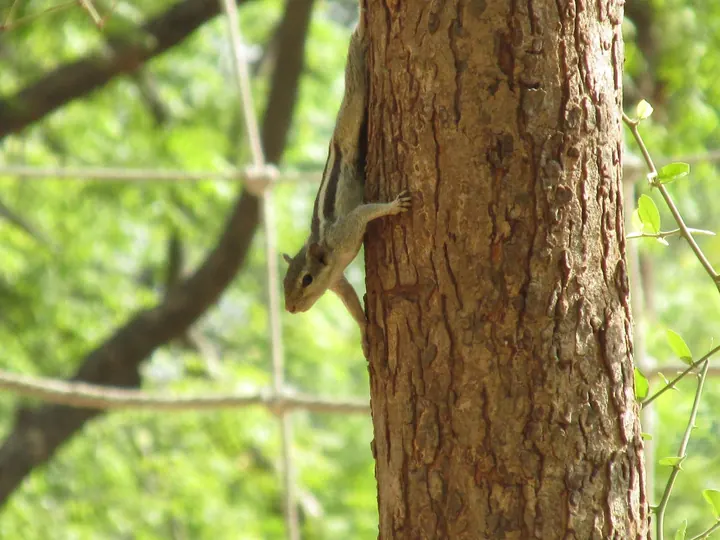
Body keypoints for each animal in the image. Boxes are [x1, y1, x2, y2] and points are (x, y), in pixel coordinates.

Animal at [281, 11, 412, 357]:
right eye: (284, 282)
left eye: (307, 280)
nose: (290, 309)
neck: (326, 252)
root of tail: (333, 143)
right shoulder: (338, 281)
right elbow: (353, 304)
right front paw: (366, 333)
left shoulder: (346, 232)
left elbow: (365, 212)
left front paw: (393, 206)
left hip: (350, 119)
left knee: (355, 89)